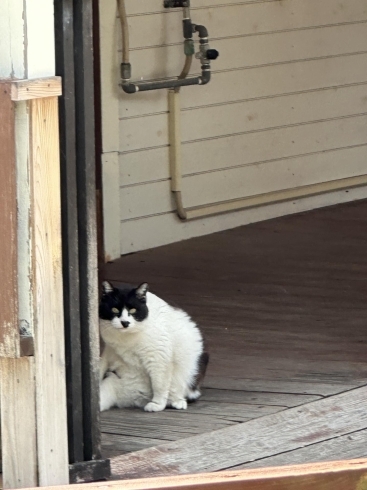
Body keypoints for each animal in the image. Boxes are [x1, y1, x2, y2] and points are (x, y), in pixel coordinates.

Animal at [99, 282, 208, 412]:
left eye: (133, 310)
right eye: (114, 309)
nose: (125, 322)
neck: (127, 338)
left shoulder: (158, 357)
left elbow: (159, 384)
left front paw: (157, 404)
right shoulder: (109, 349)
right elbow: (101, 365)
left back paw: (177, 402)